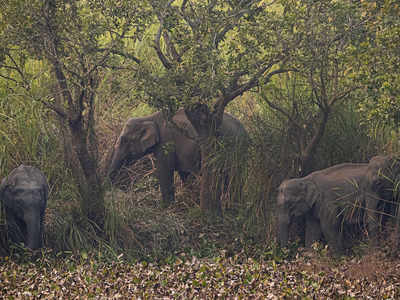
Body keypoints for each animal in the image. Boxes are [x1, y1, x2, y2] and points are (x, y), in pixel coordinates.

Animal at [108, 109, 248, 207]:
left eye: (124, 140)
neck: (149, 117)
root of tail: (246, 132)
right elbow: (184, 173)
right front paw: (188, 199)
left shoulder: (166, 143)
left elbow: (165, 172)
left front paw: (165, 207)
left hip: (232, 148)